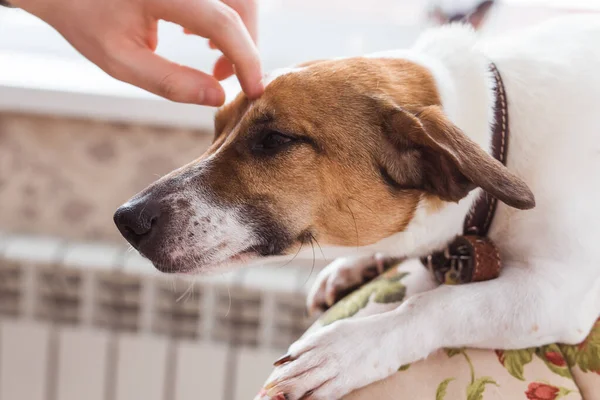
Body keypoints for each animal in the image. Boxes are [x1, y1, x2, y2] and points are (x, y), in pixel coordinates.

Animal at [115, 15, 600, 400]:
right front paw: (355, 266)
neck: (502, 128)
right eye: (216, 129)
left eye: (274, 139)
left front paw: (345, 349)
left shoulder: (556, 295)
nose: (126, 219)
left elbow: (438, 305)